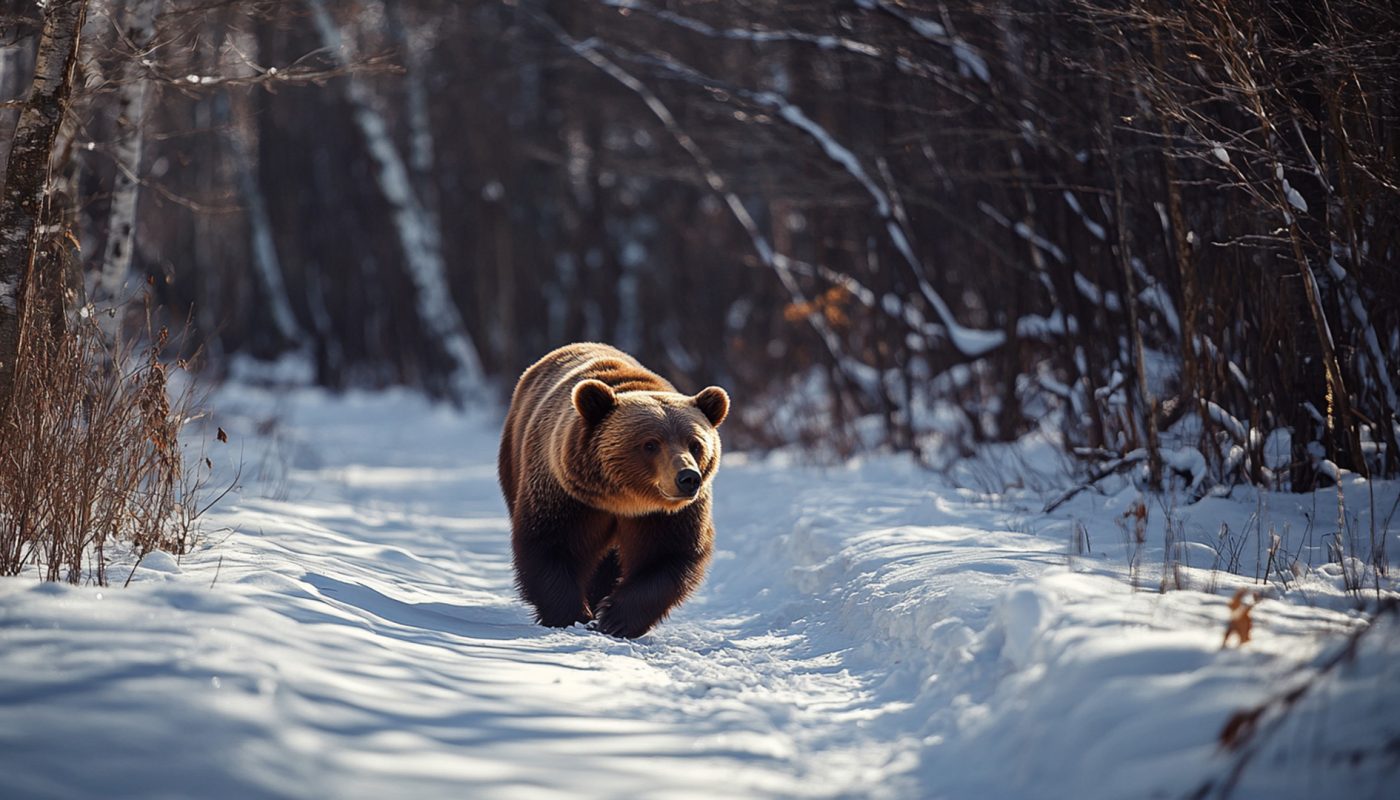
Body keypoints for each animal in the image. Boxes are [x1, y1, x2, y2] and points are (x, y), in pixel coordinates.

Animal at [497, 342, 729, 639]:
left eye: (696, 444)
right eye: (650, 444)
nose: (688, 477)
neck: (624, 500)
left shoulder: (667, 516)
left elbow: (668, 556)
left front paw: (614, 619)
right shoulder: (568, 495)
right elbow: (550, 544)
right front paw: (572, 615)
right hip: (514, 457)